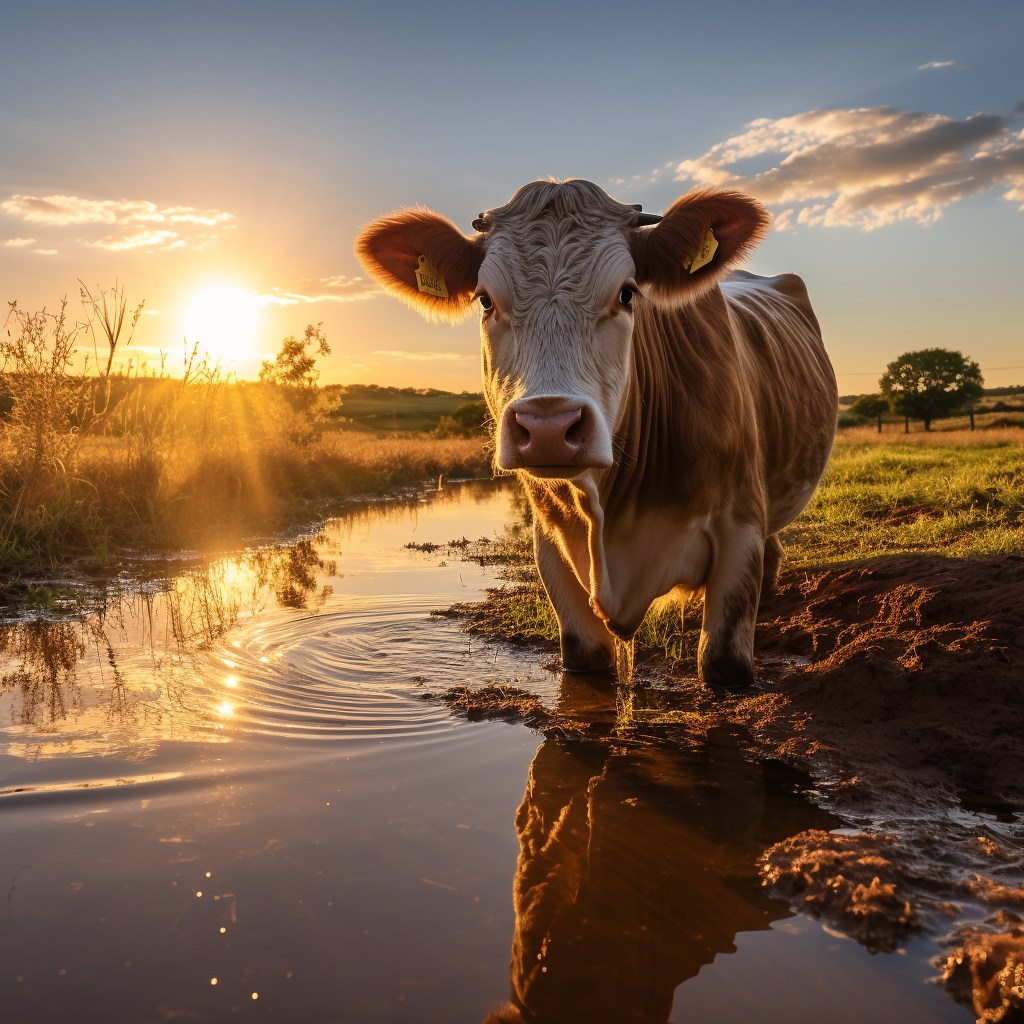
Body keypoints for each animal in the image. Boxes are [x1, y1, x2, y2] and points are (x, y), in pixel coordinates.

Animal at [356, 180, 835, 692]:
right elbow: (584, 656)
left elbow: (724, 662)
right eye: (485, 300)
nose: (548, 428)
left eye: (627, 294)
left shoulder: (739, 526)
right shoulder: (552, 545)